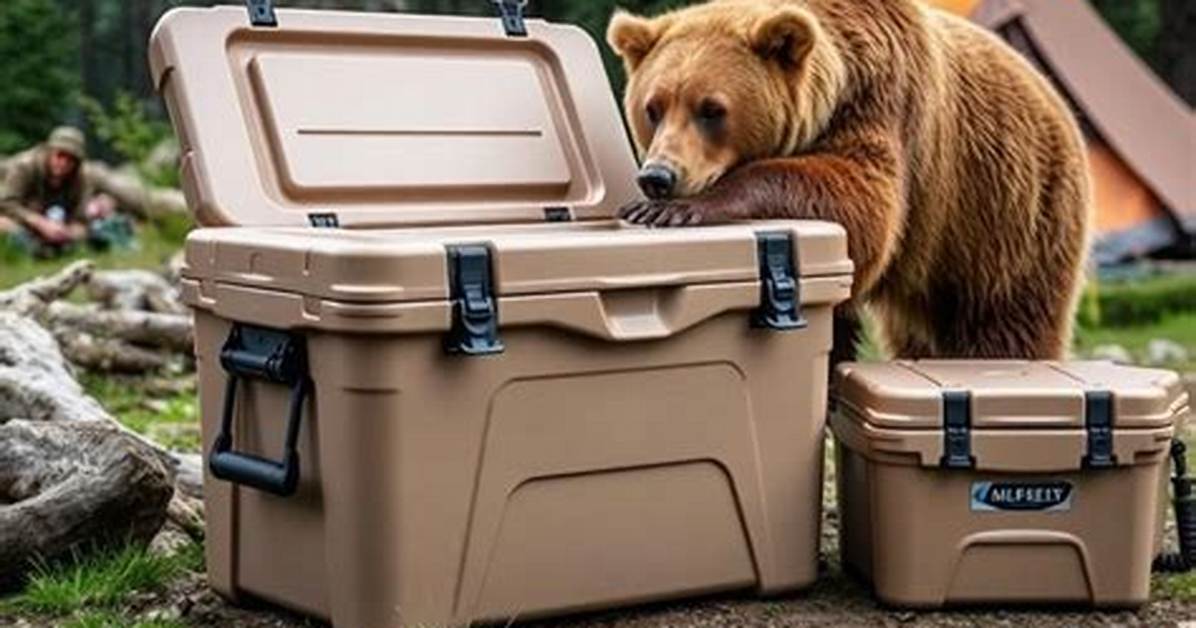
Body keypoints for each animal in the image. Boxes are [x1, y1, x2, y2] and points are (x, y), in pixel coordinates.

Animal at [607, 0, 1092, 362]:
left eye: (711, 109)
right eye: (653, 107)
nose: (658, 177)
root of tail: (1054, 99)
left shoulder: (883, 104)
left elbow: (865, 207)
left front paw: (676, 210)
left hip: (1008, 220)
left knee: (1006, 323)